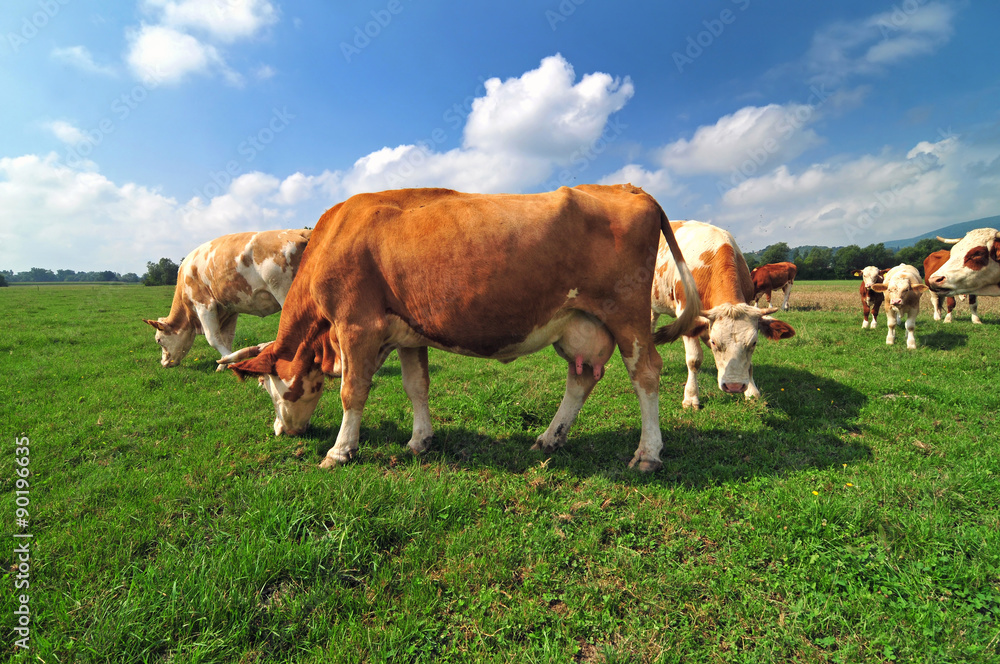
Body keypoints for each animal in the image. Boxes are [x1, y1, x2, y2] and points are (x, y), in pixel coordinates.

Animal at [143, 230, 310, 368]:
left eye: (159, 340)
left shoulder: (204, 305)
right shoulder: (230, 310)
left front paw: (230, 362)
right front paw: (223, 365)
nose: (163, 363)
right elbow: (227, 338)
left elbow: (213, 339)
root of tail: (299, 232)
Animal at [220, 183, 704, 472]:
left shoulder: (356, 323)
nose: (282, 431)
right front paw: (420, 440)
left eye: (272, 388)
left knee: (646, 374)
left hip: (627, 315)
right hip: (578, 323)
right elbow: (416, 387)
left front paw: (340, 450)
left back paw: (648, 453)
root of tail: (628, 187)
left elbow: (352, 391)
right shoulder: (406, 333)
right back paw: (550, 438)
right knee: (581, 379)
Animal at [648, 223, 796, 408]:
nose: (734, 386)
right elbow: (694, 360)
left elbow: (748, 364)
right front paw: (691, 396)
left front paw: (752, 392)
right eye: (714, 342)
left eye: (754, 342)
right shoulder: (686, 314)